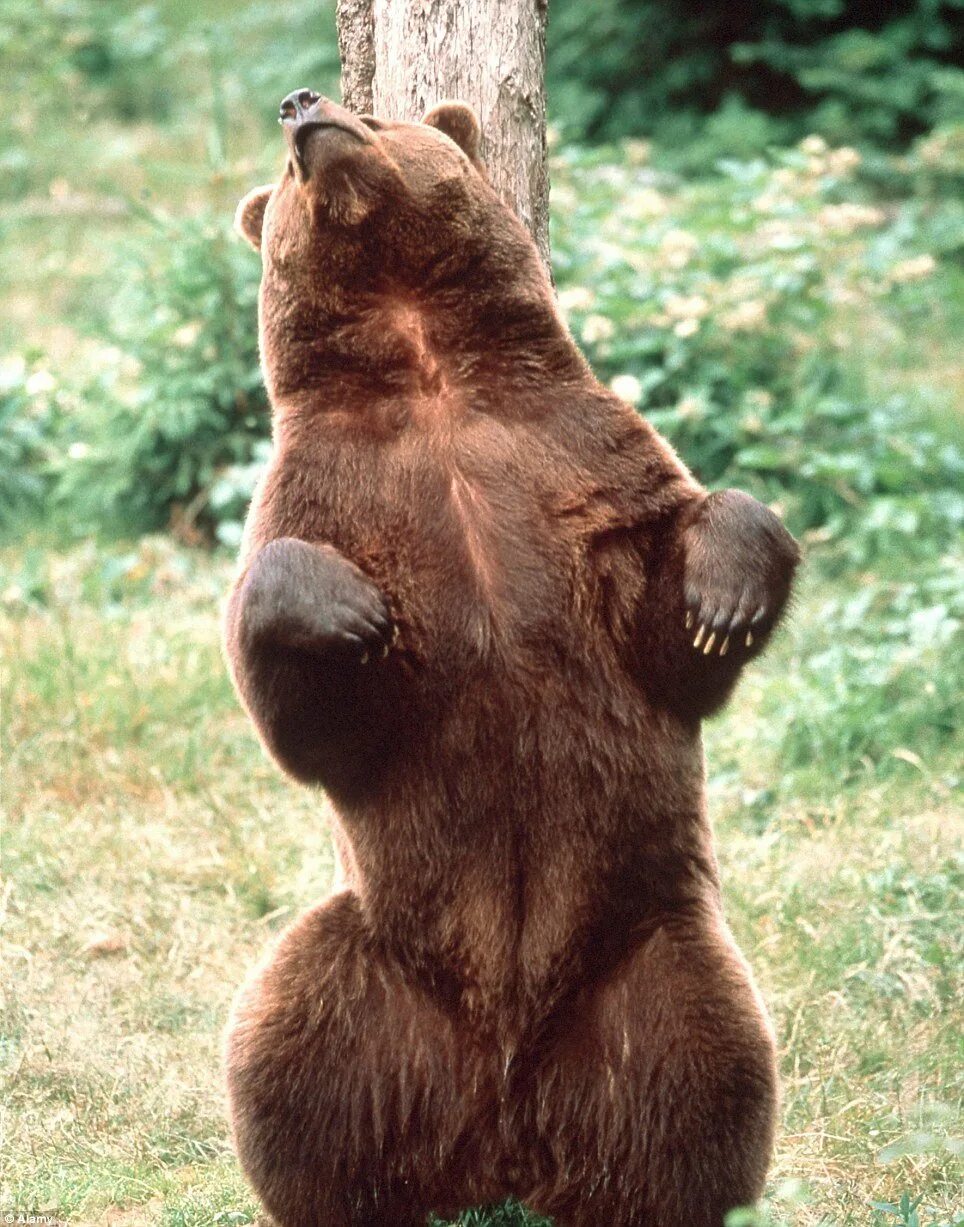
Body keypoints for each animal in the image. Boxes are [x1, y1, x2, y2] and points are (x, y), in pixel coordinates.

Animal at [223, 88, 794, 1227]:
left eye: (384, 119)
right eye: (287, 164)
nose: (303, 105)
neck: (430, 372)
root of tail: (502, 1121)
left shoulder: (579, 461)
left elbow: (673, 619)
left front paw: (724, 595)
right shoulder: (330, 492)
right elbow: (315, 719)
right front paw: (346, 612)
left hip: (648, 950)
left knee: (702, 1079)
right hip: (377, 963)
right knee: (290, 1064)